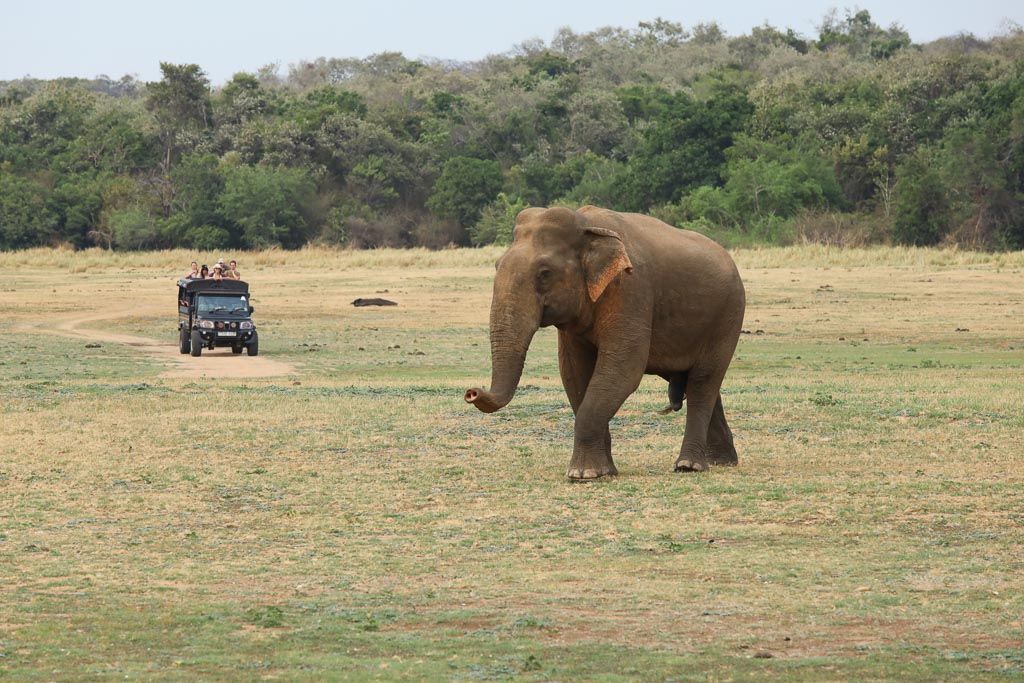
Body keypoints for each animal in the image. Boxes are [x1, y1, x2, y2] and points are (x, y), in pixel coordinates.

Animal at [464, 205, 745, 479]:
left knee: (703, 381)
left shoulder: (630, 289)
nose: (471, 392)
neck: (586, 223)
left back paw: (689, 466)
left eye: (544, 273)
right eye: (497, 265)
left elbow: (623, 370)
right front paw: (602, 471)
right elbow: (574, 374)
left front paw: (583, 474)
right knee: (699, 383)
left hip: (727, 317)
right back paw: (721, 462)